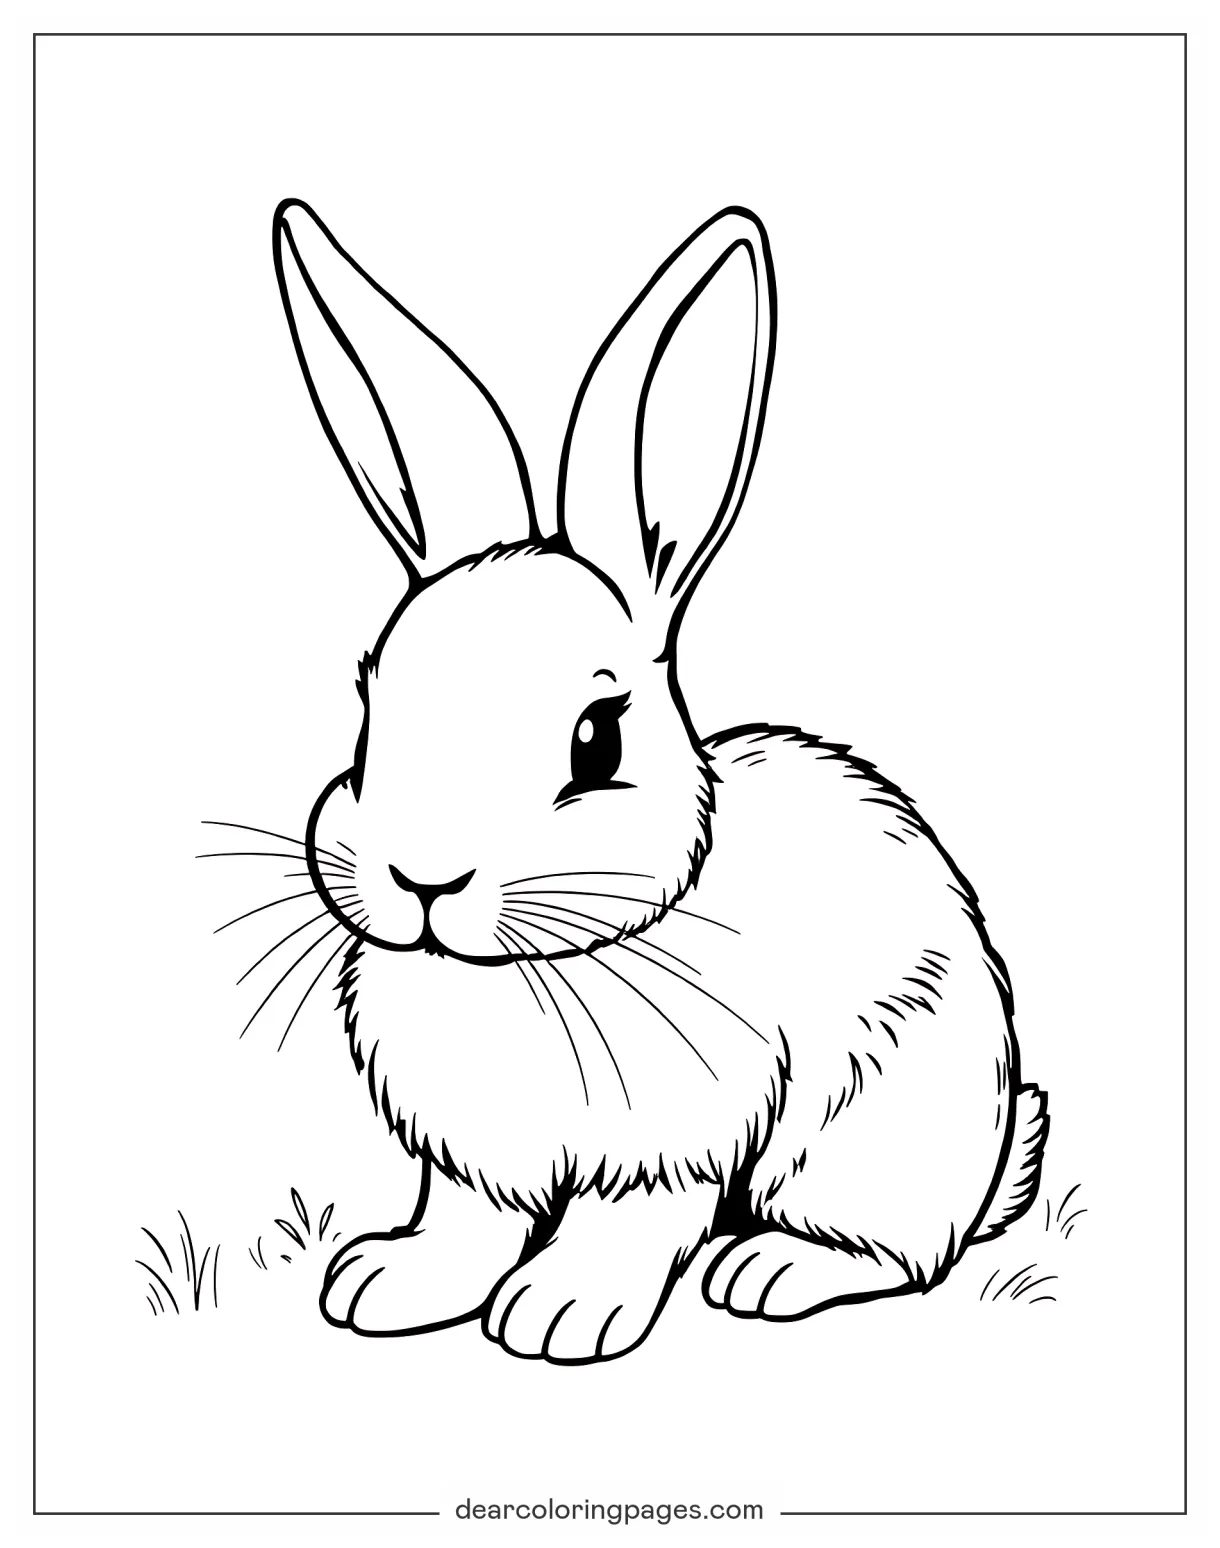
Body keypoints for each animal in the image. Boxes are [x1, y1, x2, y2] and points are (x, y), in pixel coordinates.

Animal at [269, 197, 1048, 1364]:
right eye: (370, 710)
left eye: (596, 742)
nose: (423, 880)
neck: (521, 968)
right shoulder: (468, 1158)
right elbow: (462, 1219)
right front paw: (386, 1283)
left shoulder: (671, 1143)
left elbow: (624, 1223)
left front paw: (561, 1314)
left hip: (861, 1137)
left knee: (900, 1252)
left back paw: (770, 1269)